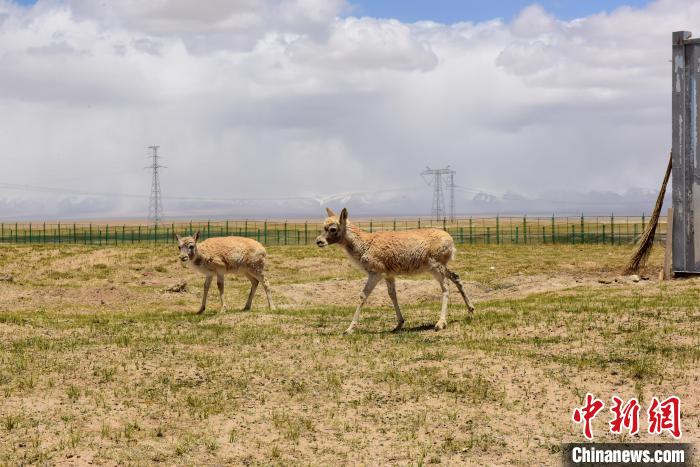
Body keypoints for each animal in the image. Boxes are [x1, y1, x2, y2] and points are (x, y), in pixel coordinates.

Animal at [318, 207, 476, 332]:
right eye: (323, 226)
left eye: (332, 228)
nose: (318, 241)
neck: (365, 243)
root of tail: (450, 240)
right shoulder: (389, 275)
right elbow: (392, 295)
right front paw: (399, 324)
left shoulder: (375, 274)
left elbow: (363, 296)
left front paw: (349, 329)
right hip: (441, 267)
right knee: (456, 277)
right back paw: (470, 311)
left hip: (436, 268)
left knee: (445, 287)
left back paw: (440, 323)